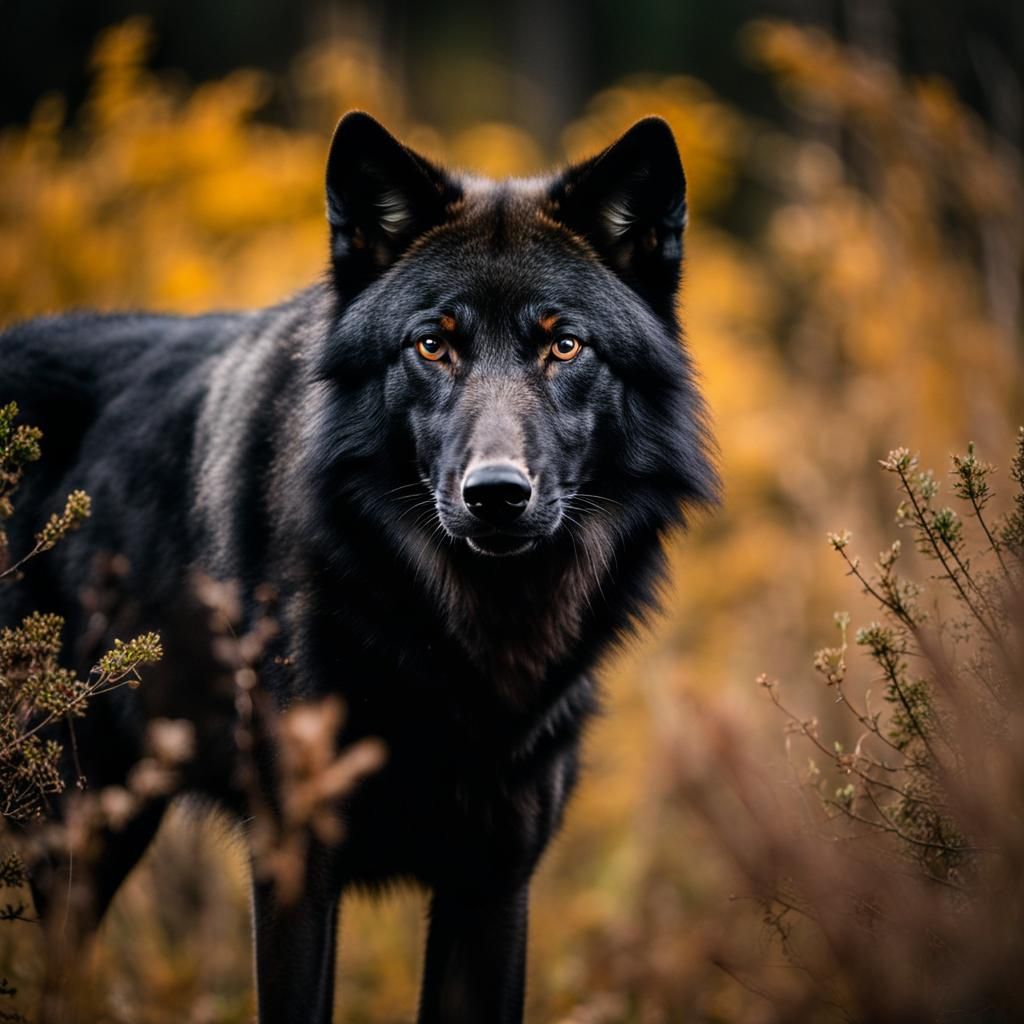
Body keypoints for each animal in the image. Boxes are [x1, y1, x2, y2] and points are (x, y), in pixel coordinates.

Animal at [0, 111, 717, 1022]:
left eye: (564, 345)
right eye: (432, 345)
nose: (495, 495)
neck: (463, 639)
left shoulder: (493, 881)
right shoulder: (294, 864)